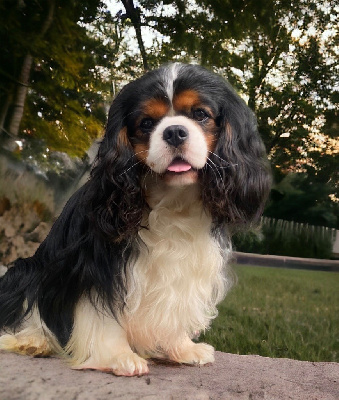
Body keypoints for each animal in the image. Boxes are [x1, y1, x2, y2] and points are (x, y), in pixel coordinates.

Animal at [0, 62, 270, 376]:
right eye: (146, 123)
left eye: (200, 114)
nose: (175, 132)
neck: (172, 199)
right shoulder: (98, 264)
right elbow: (100, 311)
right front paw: (117, 356)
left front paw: (182, 348)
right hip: (25, 270)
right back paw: (32, 341)